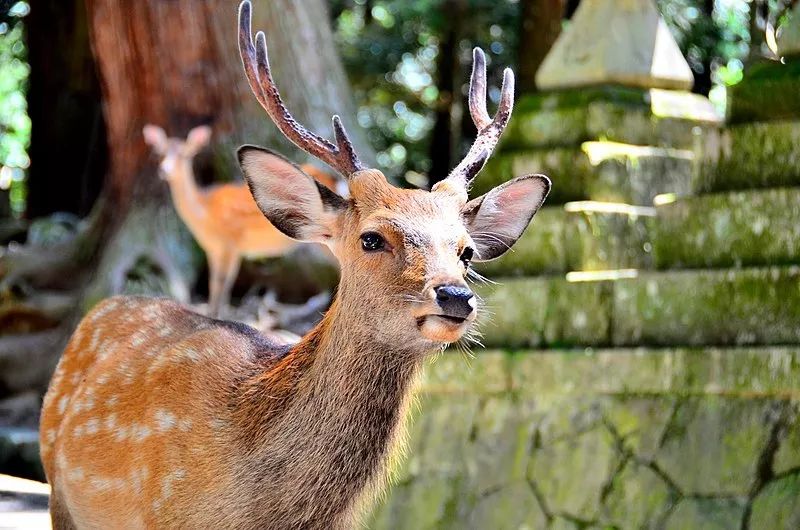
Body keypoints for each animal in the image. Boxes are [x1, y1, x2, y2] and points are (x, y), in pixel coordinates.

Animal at [141, 122, 340, 318]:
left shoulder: (230, 244)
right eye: (160, 153)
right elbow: (214, 283)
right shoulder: (214, 249)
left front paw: (218, 315)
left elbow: (223, 283)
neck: (204, 214)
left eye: (184, 154)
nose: (164, 170)